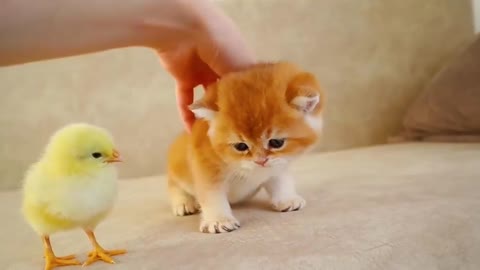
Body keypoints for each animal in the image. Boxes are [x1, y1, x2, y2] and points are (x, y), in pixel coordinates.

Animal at [167, 62, 324, 233]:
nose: (260, 161)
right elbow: (212, 195)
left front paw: (286, 199)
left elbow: (280, 179)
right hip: (177, 169)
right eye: (241, 146)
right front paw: (219, 220)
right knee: (173, 184)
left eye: (276, 143)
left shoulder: (279, 163)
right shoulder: (206, 166)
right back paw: (184, 203)